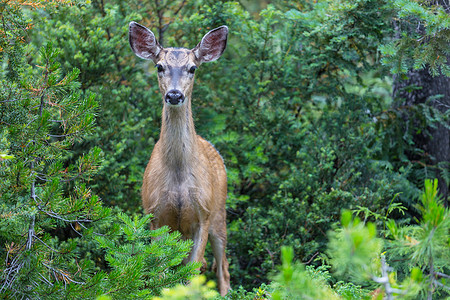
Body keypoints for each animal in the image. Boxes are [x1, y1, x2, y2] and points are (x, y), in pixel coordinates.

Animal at [128, 21, 230, 296]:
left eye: (192, 68)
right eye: (159, 66)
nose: (174, 95)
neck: (178, 176)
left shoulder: (204, 213)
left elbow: (193, 273)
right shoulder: (155, 214)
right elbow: (162, 274)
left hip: (220, 215)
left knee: (222, 269)